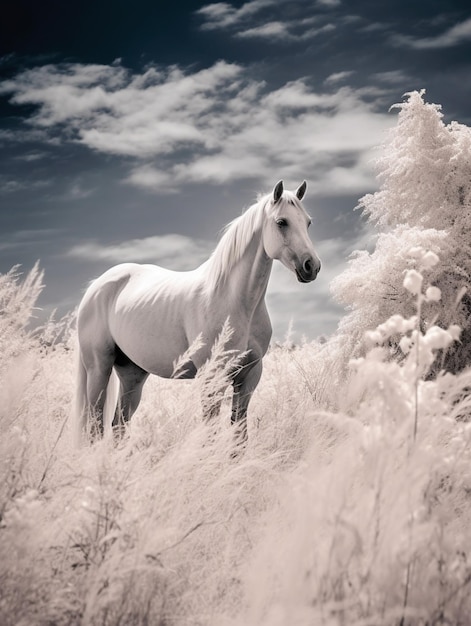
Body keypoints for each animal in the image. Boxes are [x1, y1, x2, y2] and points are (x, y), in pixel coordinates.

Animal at [75, 180, 322, 444]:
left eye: (308, 222)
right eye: (282, 222)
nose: (312, 266)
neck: (236, 301)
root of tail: (97, 286)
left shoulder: (248, 377)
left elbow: (239, 436)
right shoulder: (211, 378)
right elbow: (211, 435)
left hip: (133, 374)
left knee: (119, 425)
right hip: (99, 369)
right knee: (95, 427)